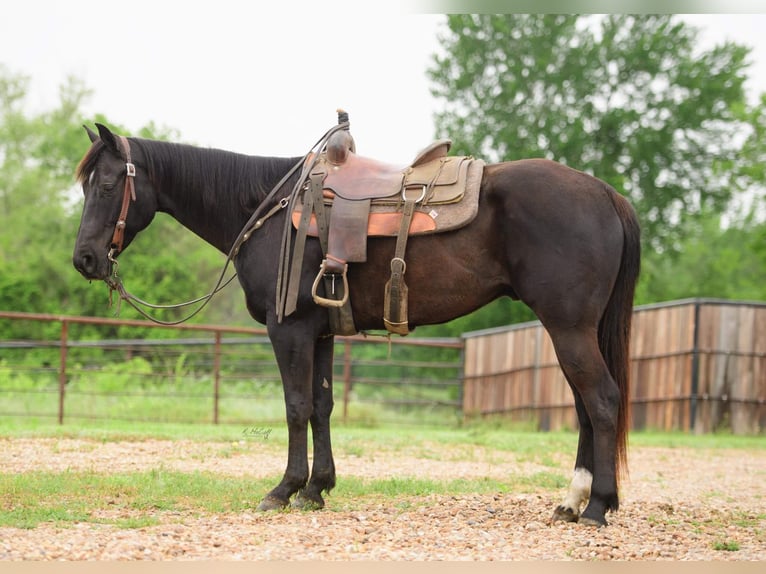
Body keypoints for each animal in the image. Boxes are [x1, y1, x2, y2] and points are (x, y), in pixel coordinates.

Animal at [75, 124, 640, 528]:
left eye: (106, 184)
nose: (84, 259)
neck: (269, 209)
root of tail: (606, 194)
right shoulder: (321, 333)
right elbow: (322, 407)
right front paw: (316, 488)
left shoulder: (289, 330)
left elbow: (296, 406)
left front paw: (283, 489)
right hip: (571, 331)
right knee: (585, 407)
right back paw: (572, 503)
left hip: (568, 329)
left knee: (601, 401)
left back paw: (597, 507)